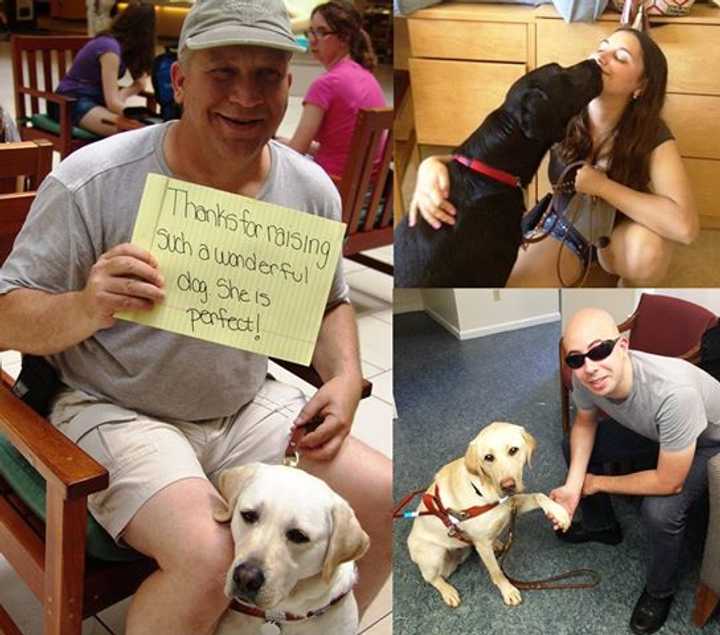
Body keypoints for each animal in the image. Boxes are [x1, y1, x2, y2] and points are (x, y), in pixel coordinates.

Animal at [404, 422, 568, 608]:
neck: (485, 492)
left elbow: (539, 495)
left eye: (513, 450)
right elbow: (496, 572)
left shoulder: (513, 504)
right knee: (432, 579)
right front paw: (508, 590)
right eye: (488, 457)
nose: (508, 486)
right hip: (434, 555)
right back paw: (448, 592)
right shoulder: (482, 544)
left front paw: (559, 513)